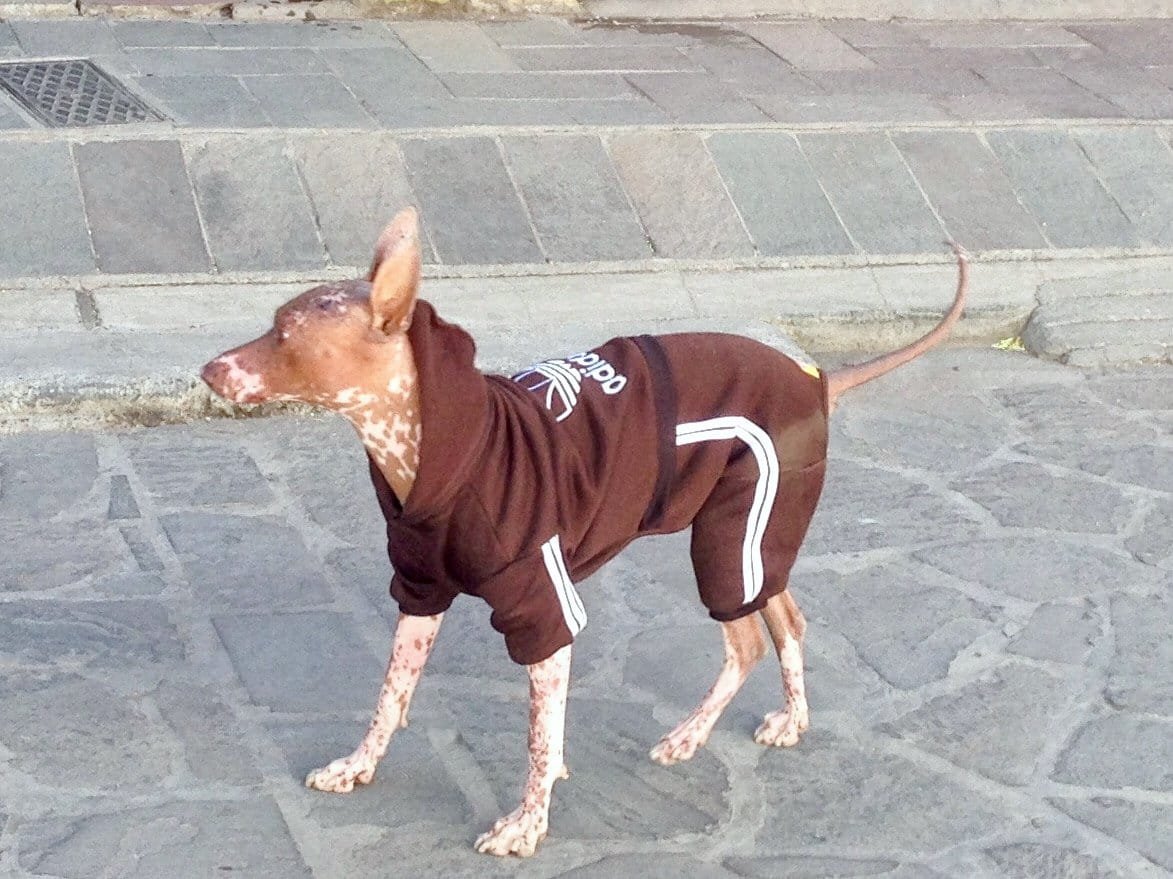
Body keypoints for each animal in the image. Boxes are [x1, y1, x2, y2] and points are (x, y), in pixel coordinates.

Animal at [204, 207, 971, 859]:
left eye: (283, 334)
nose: (209, 369)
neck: (424, 450)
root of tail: (814, 379)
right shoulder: (420, 590)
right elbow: (390, 696)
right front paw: (359, 765)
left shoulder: (541, 609)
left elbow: (538, 739)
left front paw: (526, 823)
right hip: (751, 539)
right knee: (787, 615)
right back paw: (791, 719)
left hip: (726, 540)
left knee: (751, 637)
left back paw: (689, 736)